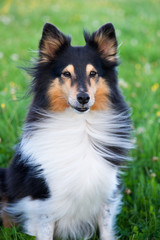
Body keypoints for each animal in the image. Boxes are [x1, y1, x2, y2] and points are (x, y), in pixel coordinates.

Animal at [0, 23, 132, 240]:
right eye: (66, 74)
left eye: (93, 73)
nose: (83, 98)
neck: (80, 124)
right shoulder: (44, 201)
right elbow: (45, 231)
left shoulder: (106, 192)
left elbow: (106, 230)